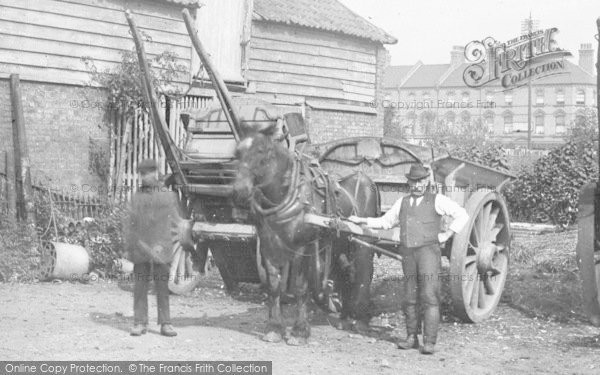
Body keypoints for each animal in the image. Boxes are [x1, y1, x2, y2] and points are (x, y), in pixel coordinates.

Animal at [232, 133, 378, 346]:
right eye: (237, 153)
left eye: (262, 154)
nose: (239, 191)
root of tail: (367, 180)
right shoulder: (268, 244)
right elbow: (274, 286)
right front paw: (274, 328)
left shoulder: (303, 247)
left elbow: (300, 287)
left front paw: (299, 332)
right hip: (340, 243)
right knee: (346, 273)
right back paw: (344, 317)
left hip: (362, 244)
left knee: (363, 275)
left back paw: (361, 321)